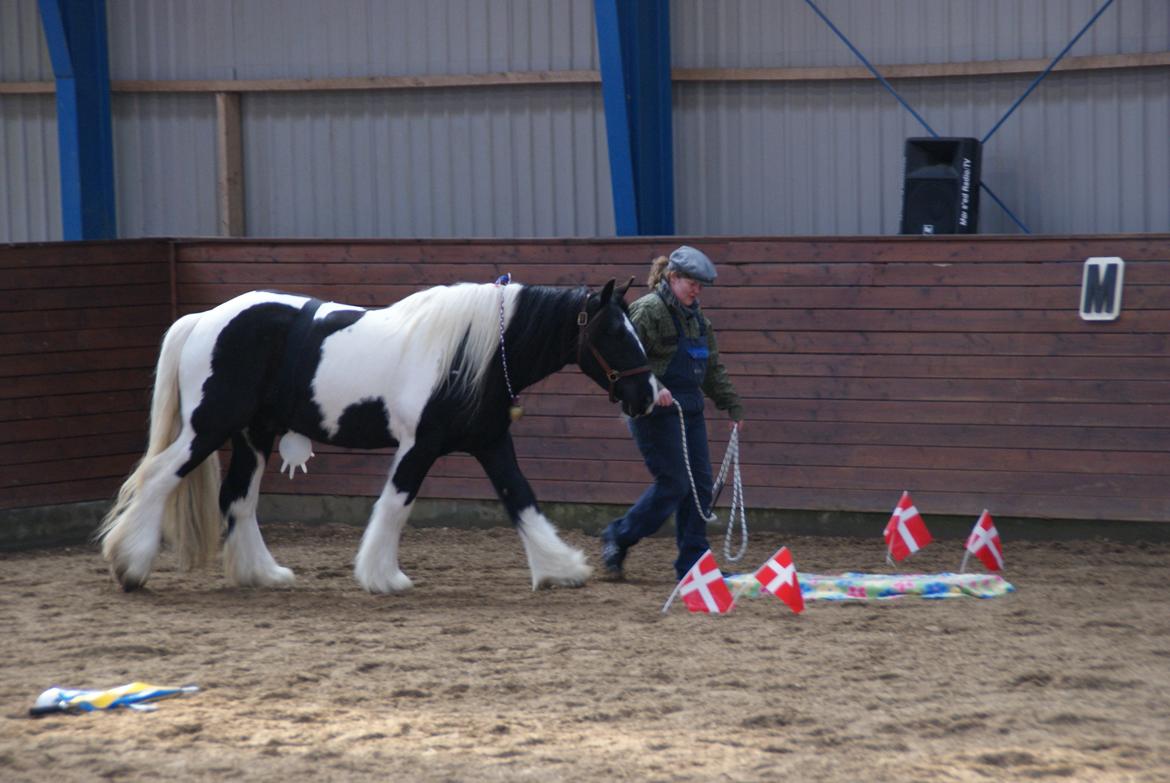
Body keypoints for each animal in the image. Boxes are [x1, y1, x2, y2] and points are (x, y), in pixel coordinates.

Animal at [98, 277, 659, 589]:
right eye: (613, 331)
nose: (648, 395)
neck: (468, 353)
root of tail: (203, 320)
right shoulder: (420, 445)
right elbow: (395, 504)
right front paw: (382, 577)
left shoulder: (491, 444)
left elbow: (521, 500)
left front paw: (561, 568)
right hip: (209, 426)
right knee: (159, 479)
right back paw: (131, 565)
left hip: (254, 435)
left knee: (237, 498)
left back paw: (263, 574)